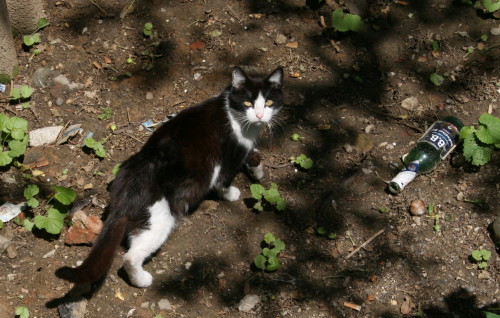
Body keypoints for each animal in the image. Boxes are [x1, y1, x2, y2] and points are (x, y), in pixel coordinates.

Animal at [56, 66, 284, 286]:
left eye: (269, 102)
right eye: (248, 103)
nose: (260, 116)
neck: (236, 117)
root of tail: (123, 192)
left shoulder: (245, 145)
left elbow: (253, 153)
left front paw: (257, 171)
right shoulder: (228, 158)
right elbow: (224, 180)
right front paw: (231, 193)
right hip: (159, 219)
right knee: (130, 257)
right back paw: (143, 281)